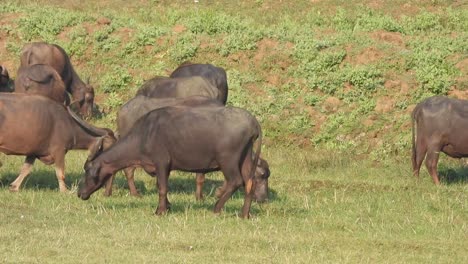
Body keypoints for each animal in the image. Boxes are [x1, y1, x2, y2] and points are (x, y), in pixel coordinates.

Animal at [78, 104, 266, 218]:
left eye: (87, 171)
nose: (80, 193)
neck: (145, 135)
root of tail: (252, 122)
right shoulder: (164, 168)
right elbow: (161, 186)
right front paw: (167, 206)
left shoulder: (161, 162)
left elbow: (162, 188)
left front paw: (160, 210)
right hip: (246, 158)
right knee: (250, 182)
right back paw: (244, 213)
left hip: (228, 160)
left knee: (236, 181)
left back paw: (217, 207)